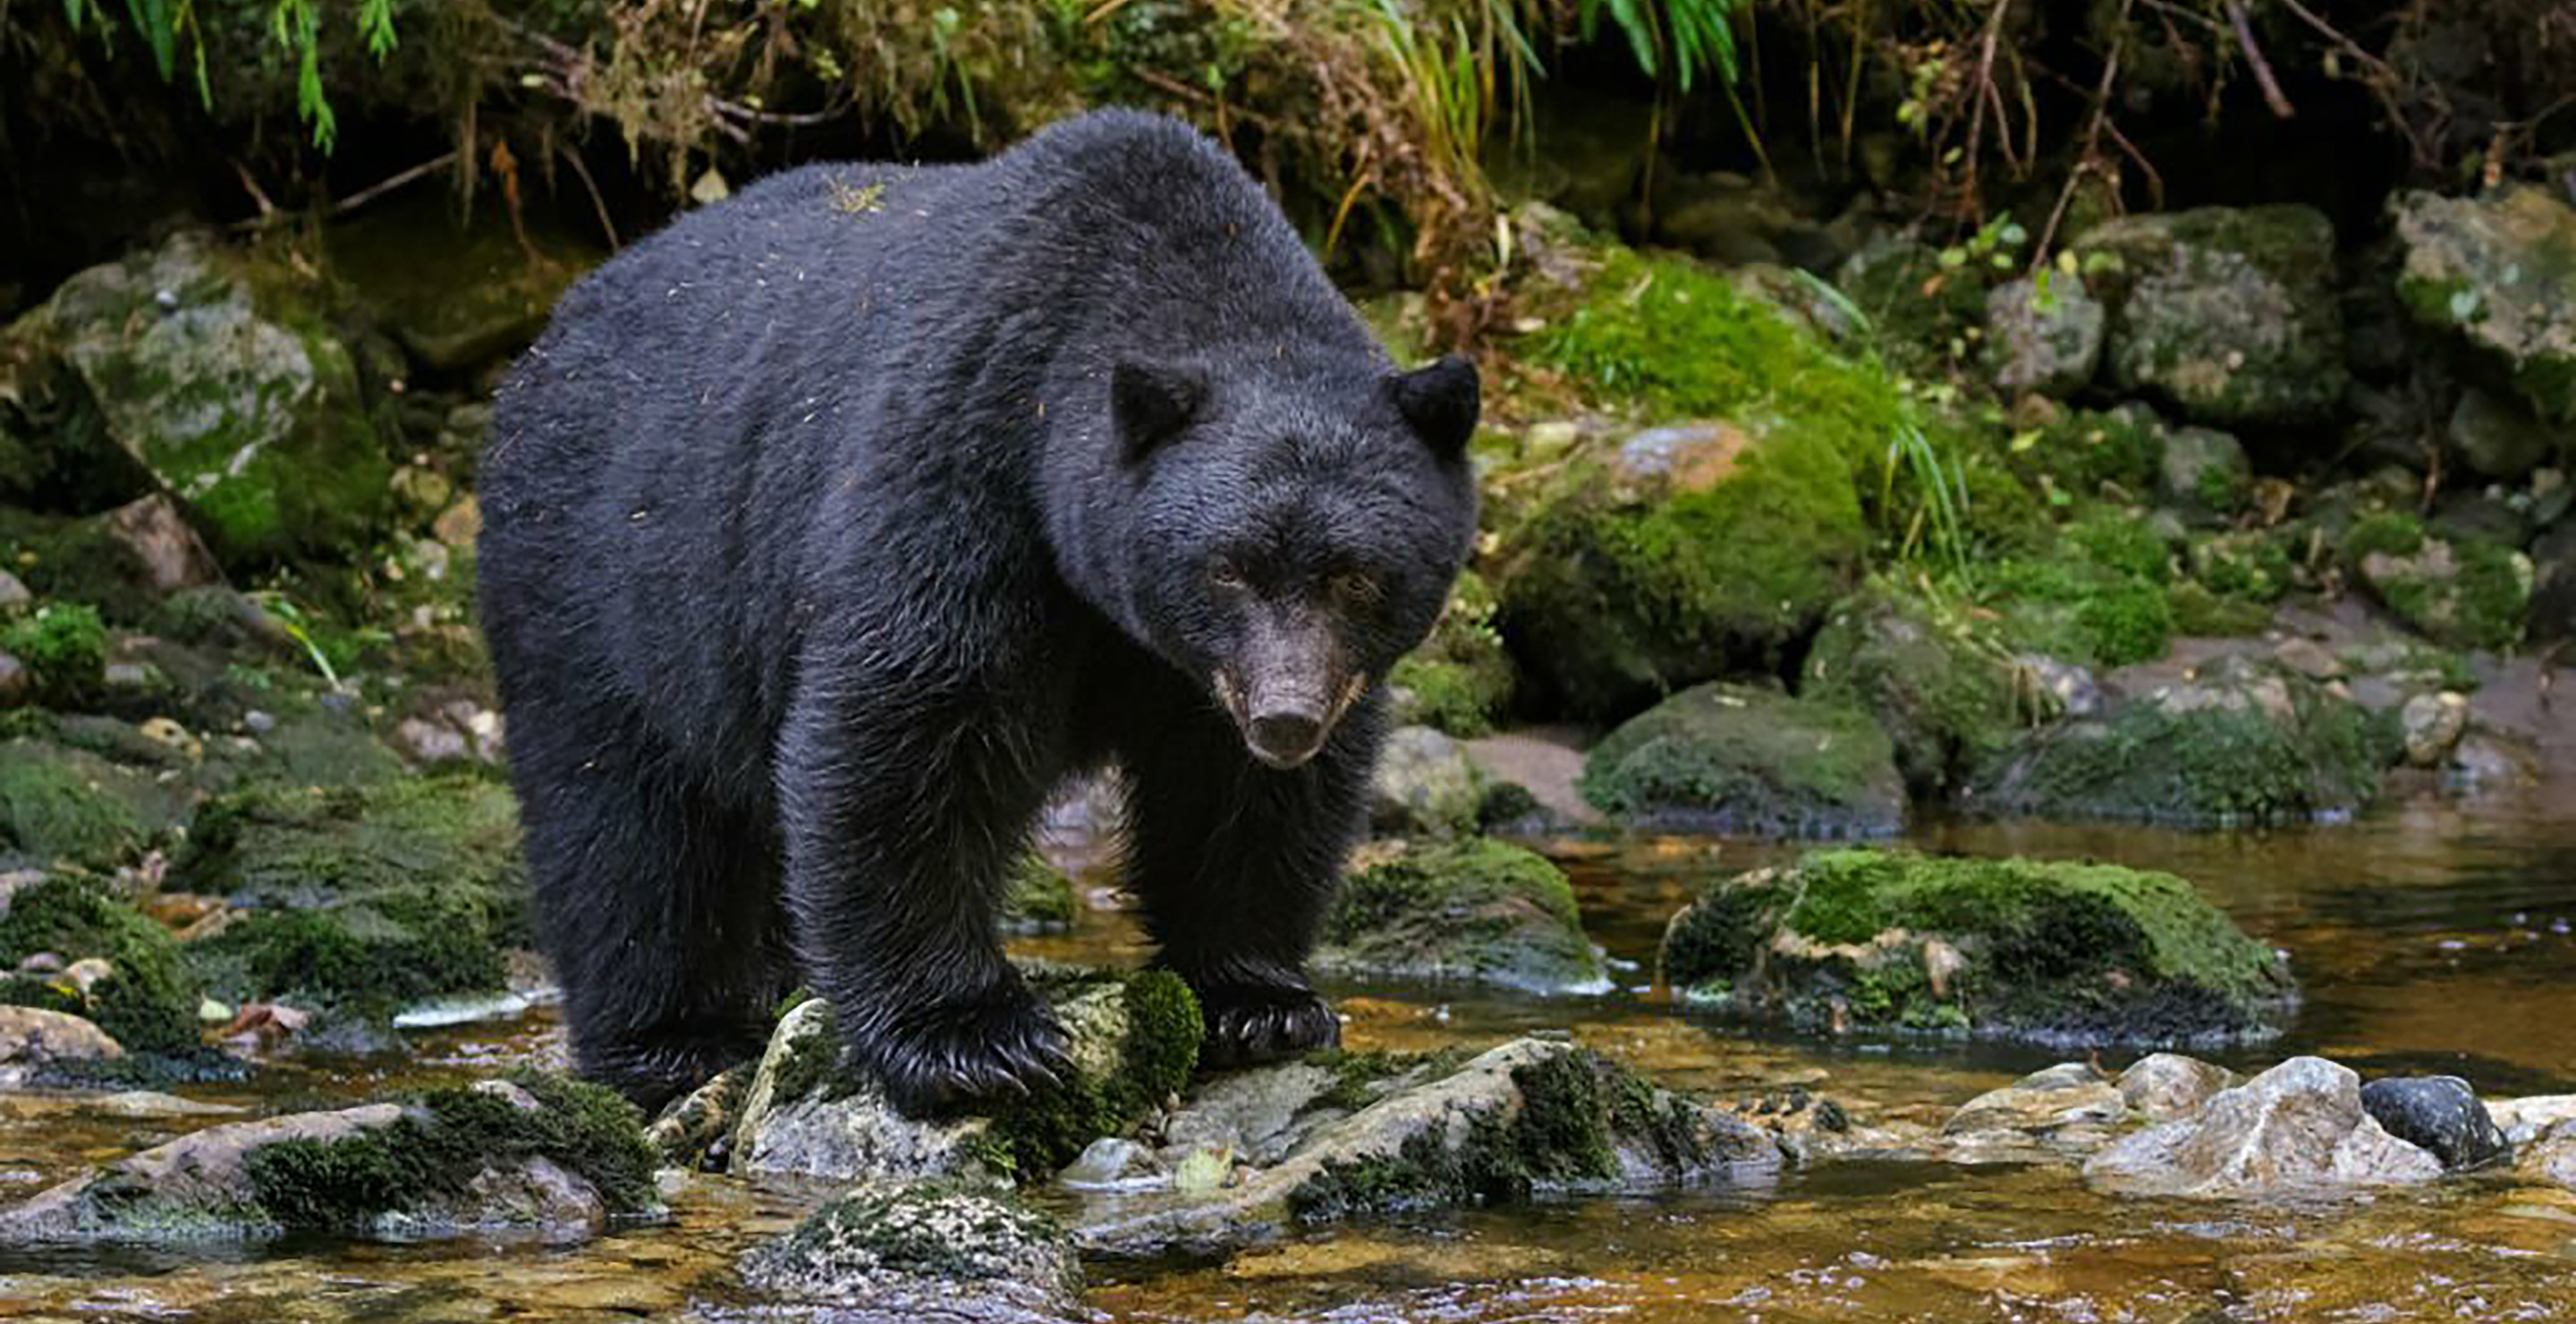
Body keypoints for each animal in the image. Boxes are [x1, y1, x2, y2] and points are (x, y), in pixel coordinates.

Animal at [477, 109, 1481, 1116]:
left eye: (1356, 576)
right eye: (1227, 569)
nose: (1285, 719)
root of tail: (549, 336)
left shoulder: (1211, 671)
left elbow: (1237, 793)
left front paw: (1258, 1000)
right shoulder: (963, 465)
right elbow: (909, 728)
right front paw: (971, 1036)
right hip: (601, 580)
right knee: (626, 823)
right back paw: (673, 1037)